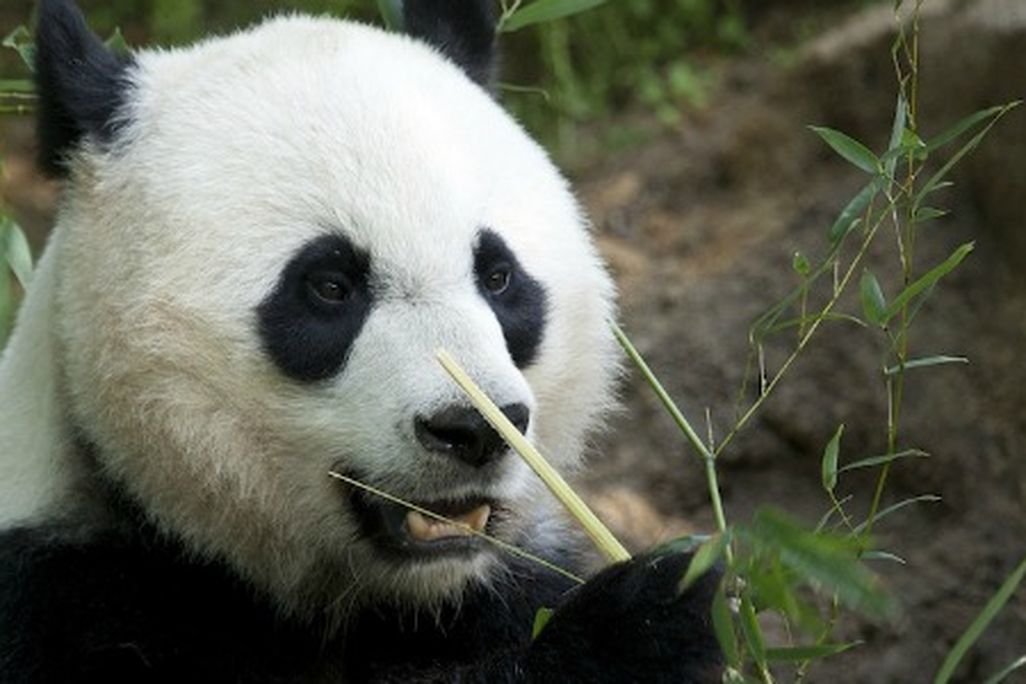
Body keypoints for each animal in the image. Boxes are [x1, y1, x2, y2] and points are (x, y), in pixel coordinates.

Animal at [0, 0, 722, 681]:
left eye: (497, 276)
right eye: (329, 286)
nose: (474, 429)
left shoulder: (498, 587)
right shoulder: (67, 593)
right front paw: (649, 615)